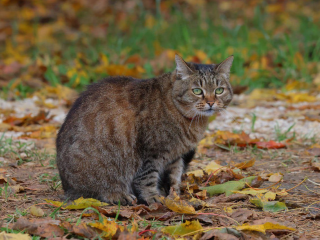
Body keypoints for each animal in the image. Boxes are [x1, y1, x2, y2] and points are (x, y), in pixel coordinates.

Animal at [56, 54, 234, 204]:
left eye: (219, 90)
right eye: (197, 91)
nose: (211, 102)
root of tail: (66, 187)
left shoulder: (175, 155)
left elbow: (174, 176)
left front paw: (174, 196)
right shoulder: (151, 153)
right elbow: (147, 178)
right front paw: (153, 198)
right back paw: (119, 195)